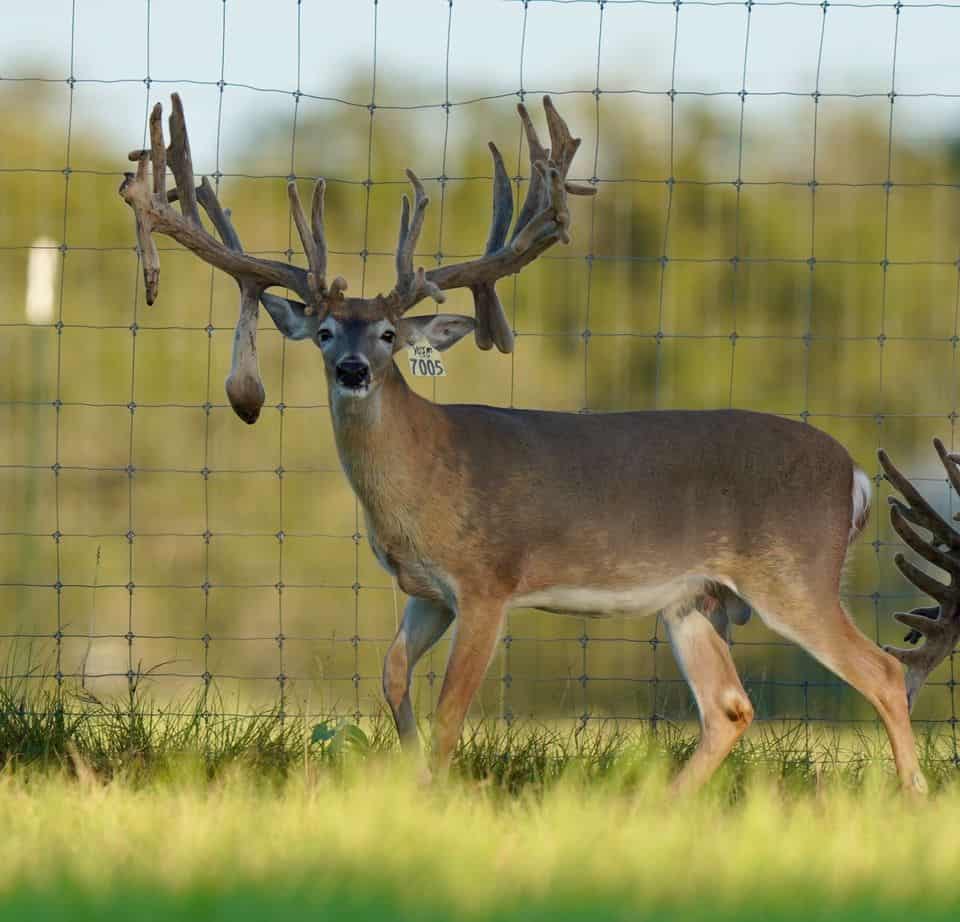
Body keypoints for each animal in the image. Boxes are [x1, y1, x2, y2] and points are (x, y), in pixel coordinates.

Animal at [119, 93, 936, 795]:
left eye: (388, 335)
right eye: (323, 332)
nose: (352, 369)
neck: (424, 476)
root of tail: (857, 476)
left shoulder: (489, 580)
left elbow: (452, 706)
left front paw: (433, 792)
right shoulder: (426, 592)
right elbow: (391, 676)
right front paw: (407, 775)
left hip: (792, 571)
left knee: (883, 672)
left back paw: (912, 799)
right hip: (693, 598)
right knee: (730, 707)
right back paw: (656, 806)